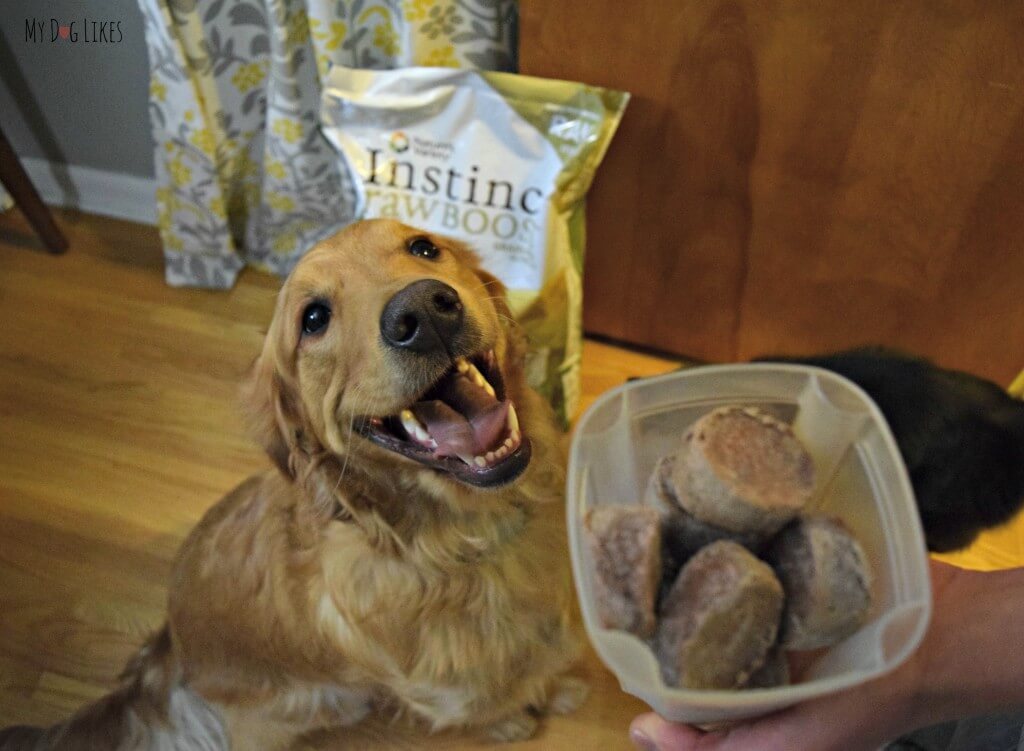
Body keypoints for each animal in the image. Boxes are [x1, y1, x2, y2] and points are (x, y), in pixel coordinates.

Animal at [2, 219, 585, 745]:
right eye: (314, 318)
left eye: (423, 247)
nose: (422, 310)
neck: (464, 541)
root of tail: (168, 645)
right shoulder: (441, 693)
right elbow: (485, 706)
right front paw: (512, 721)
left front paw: (559, 687)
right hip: (323, 700)